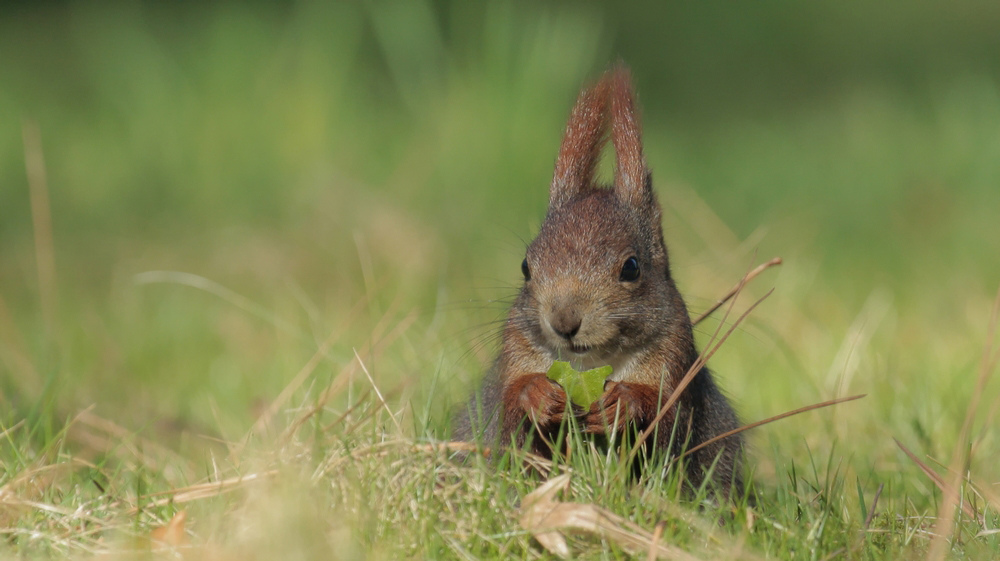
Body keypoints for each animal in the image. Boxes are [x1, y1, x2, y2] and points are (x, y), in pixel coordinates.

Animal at [454, 65, 744, 498]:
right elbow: (511, 431)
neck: (589, 363)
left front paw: (622, 404)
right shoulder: (516, 352)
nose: (564, 321)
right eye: (526, 266)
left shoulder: (675, 363)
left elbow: (666, 431)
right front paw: (536, 395)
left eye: (632, 267)